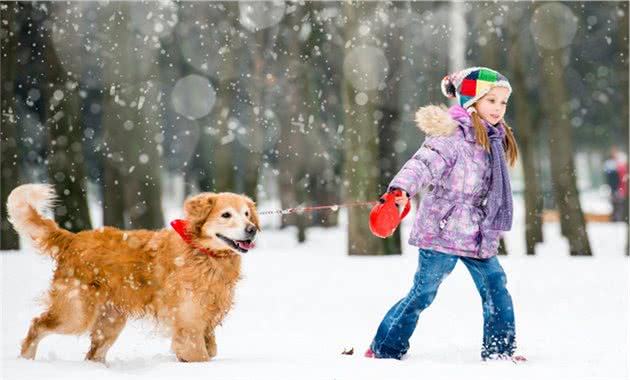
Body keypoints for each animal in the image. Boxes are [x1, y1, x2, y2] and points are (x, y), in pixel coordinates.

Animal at [8, 184, 260, 362]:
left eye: (247, 214)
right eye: (226, 215)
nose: (252, 229)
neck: (203, 253)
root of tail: (72, 238)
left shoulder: (205, 322)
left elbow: (211, 349)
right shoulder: (189, 323)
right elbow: (200, 355)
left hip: (110, 320)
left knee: (93, 355)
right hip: (76, 313)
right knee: (37, 324)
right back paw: (26, 361)